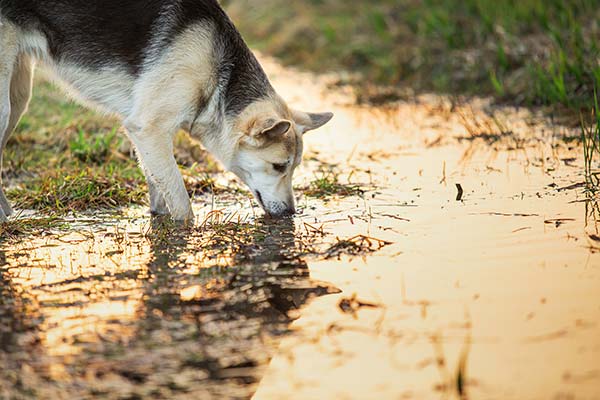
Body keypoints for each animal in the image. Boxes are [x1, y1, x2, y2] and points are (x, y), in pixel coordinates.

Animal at [0, 0, 332, 222]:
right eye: (279, 166)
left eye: (295, 167)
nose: (290, 213)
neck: (217, 74)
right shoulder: (149, 130)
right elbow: (182, 205)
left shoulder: (149, 140)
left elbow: (161, 193)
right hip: (5, 106)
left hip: (18, 98)